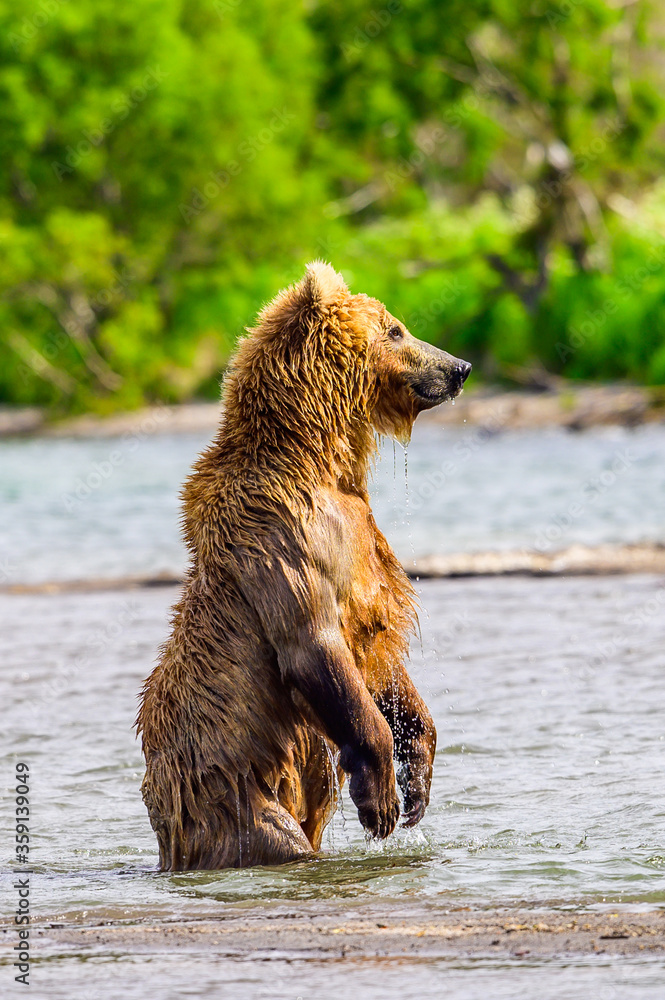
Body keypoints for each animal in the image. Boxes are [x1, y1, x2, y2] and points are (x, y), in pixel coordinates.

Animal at [136, 262, 471, 871]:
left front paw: (418, 772)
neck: (318, 458)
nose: (459, 367)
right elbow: (313, 643)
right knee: (276, 839)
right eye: (396, 330)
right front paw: (381, 799)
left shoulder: (359, 548)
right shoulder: (285, 538)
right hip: (235, 798)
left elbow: (375, 652)